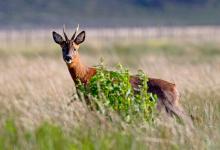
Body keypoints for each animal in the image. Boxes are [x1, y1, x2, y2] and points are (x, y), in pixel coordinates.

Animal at [52, 25, 192, 124]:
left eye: (75, 48)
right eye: (63, 48)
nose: (68, 57)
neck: (84, 75)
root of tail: (175, 87)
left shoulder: (95, 100)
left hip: (171, 105)